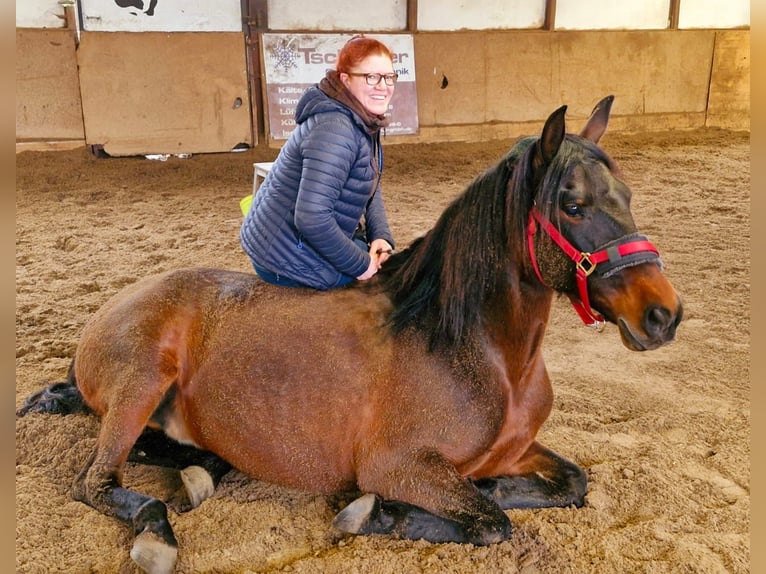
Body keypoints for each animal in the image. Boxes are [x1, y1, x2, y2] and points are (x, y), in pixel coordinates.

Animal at [15, 97, 680, 572]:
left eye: (626, 194)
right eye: (572, 205)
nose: (663, 315)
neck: (481, 355)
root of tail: (113, 307)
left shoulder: (519, 450)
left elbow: (571, 483)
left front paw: (497, 484)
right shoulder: (400, 468)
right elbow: (491, 521)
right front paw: (377, 516)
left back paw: (200, 472)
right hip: (141, 382)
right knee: (98, 478)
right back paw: (157, 530)